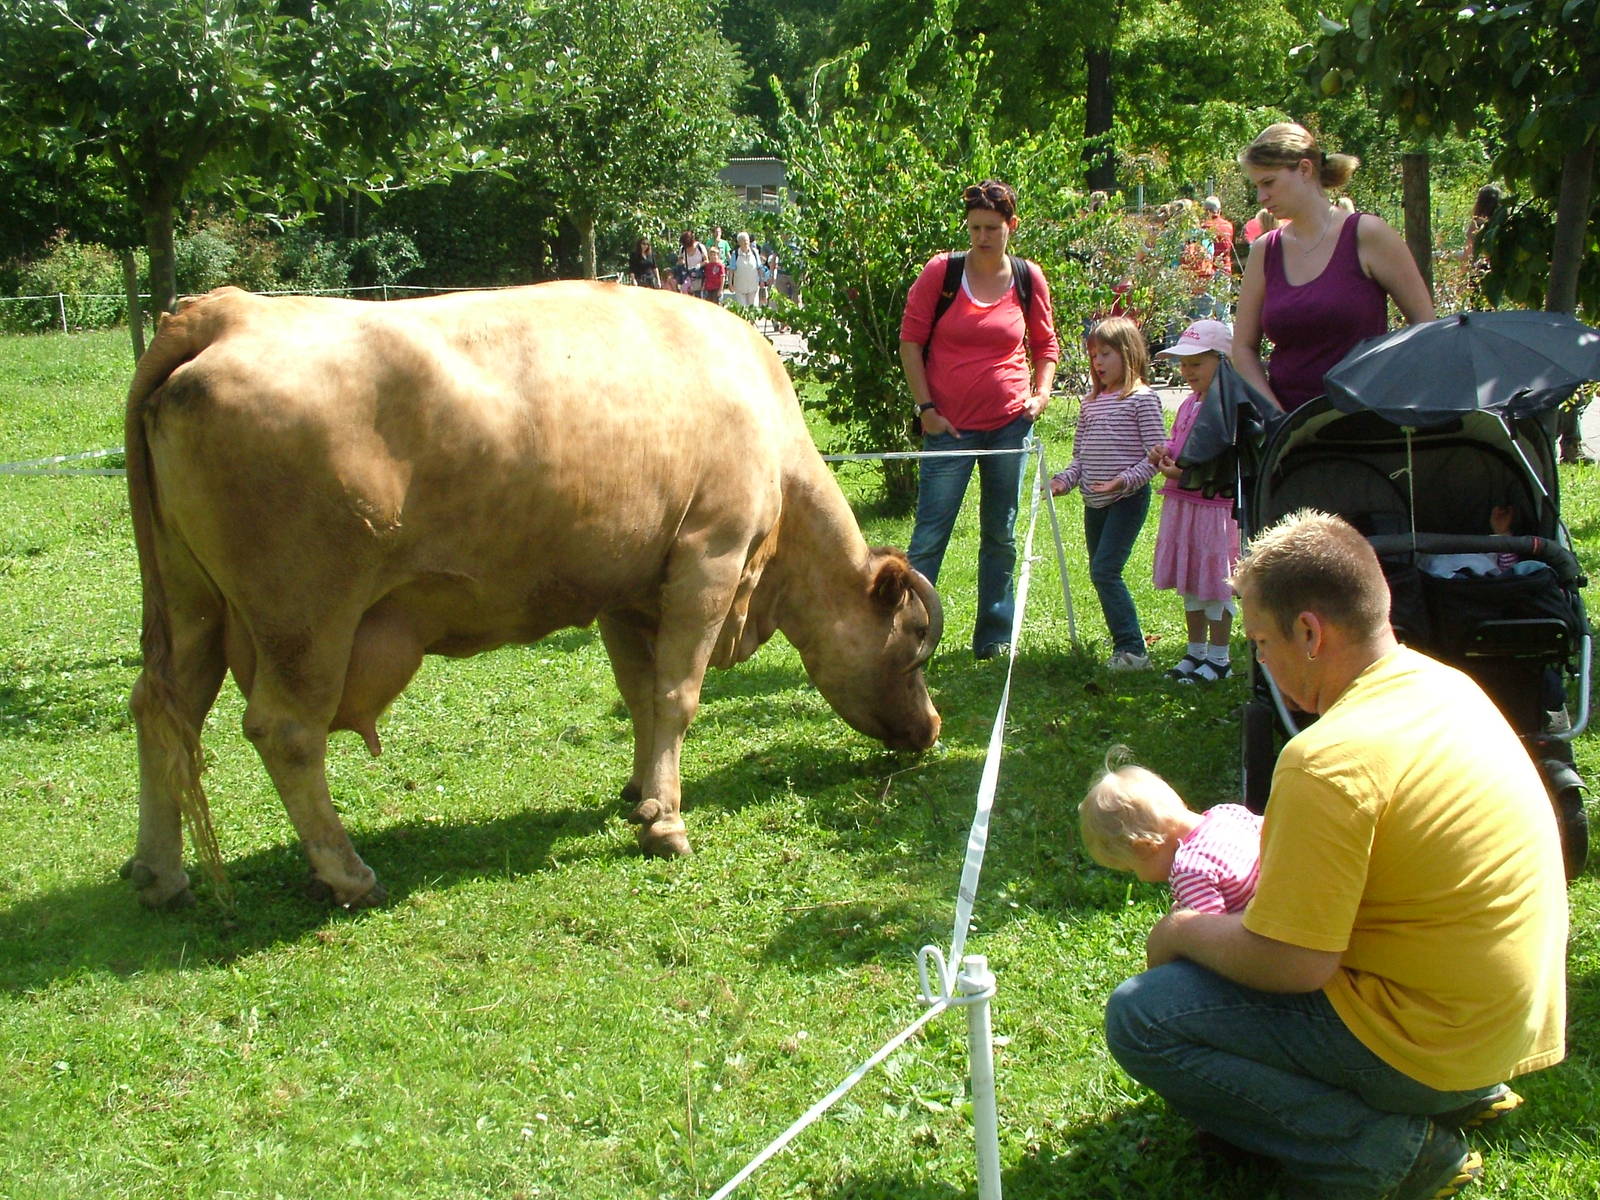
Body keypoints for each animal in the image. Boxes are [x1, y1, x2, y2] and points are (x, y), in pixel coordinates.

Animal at [121, 283, 943, 910]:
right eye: (910, 650)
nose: (932, 728)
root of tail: (227, 309)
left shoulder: (628, 589)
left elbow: (640, 695)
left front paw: (641, 792)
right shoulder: (708, 559)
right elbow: (677, 695)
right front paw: (667, 825)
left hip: (192, 607)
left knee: (161, 712)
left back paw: (160, 873)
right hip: (305, 617)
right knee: (286, 731)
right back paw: (346, 873)